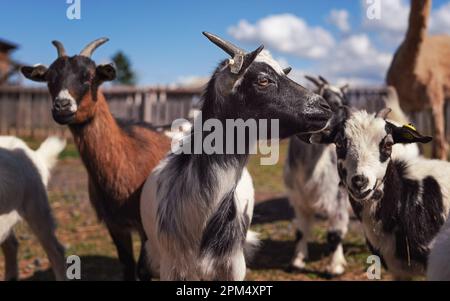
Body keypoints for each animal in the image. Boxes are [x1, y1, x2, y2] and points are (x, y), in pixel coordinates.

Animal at [19, 38, 171, 278]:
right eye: (50, 79)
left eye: (89, 77)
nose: (62, 106)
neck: (128, 157)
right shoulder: (115, 224)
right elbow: (127, 266)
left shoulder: (148, 227)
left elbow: (142, 269)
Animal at [284, 75, 352, 274]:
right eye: (326, 97)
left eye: (344, 99)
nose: (341, 111)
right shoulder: (300, 200)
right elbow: (301, 231)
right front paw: (297, 261)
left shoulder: (338, 199)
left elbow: (334, 234)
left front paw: (335, 267)